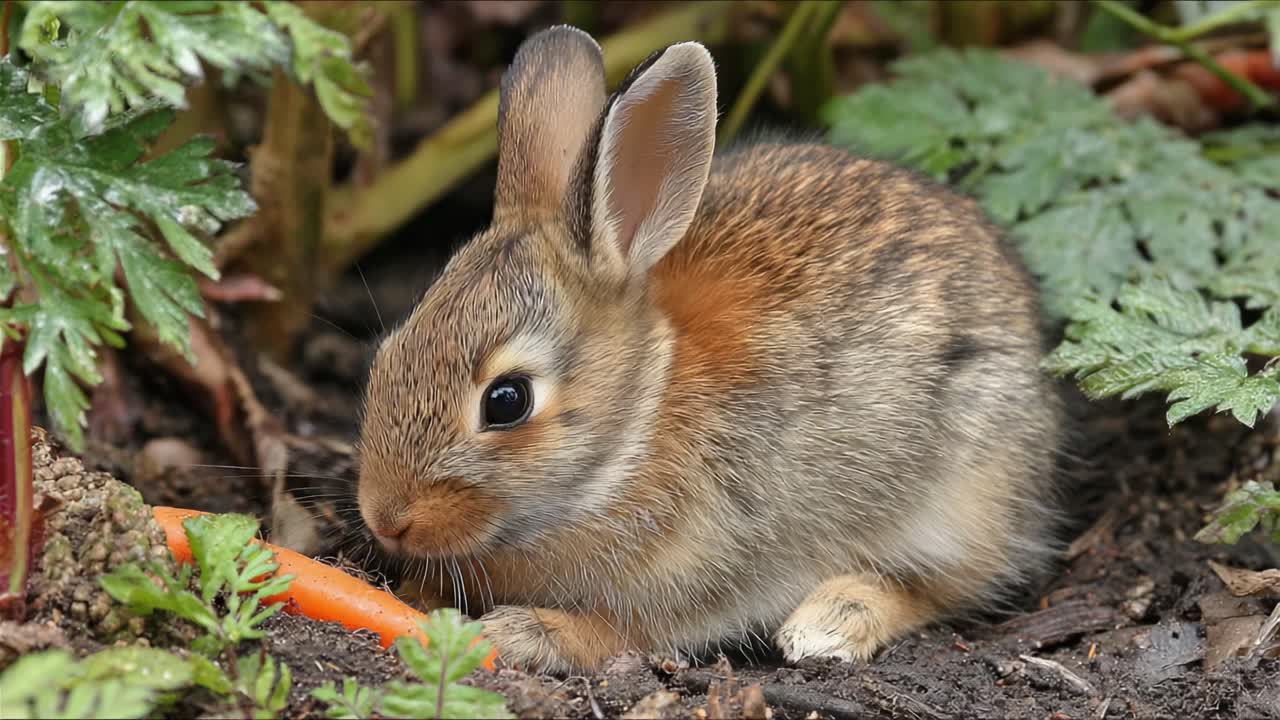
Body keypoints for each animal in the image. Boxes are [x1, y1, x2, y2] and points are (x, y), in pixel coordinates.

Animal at [355, 24, 1064, 674]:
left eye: (507, 400)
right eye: (387, 352)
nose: (386, 519)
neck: (635, 434)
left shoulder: (719, 564)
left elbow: (629, 632)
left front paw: (524, 633)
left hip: (963, 491)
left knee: (946, 586)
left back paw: (830, 622)